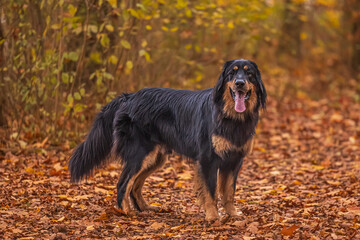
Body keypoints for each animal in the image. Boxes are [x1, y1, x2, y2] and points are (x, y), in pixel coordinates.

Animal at [69, 58, 268, 221]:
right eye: (231, 73)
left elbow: (228, 192)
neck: (231, 116)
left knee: (135, 186)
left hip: (155, 157)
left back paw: (145, 208)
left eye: (249, 73)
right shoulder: (208, 159)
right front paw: (213, 217)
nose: (240, 83)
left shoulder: (234, 160)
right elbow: (211, 192)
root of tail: (128, 97)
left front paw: (232, 214)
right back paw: (127, 212)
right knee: (123, 184)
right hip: (140, 153)